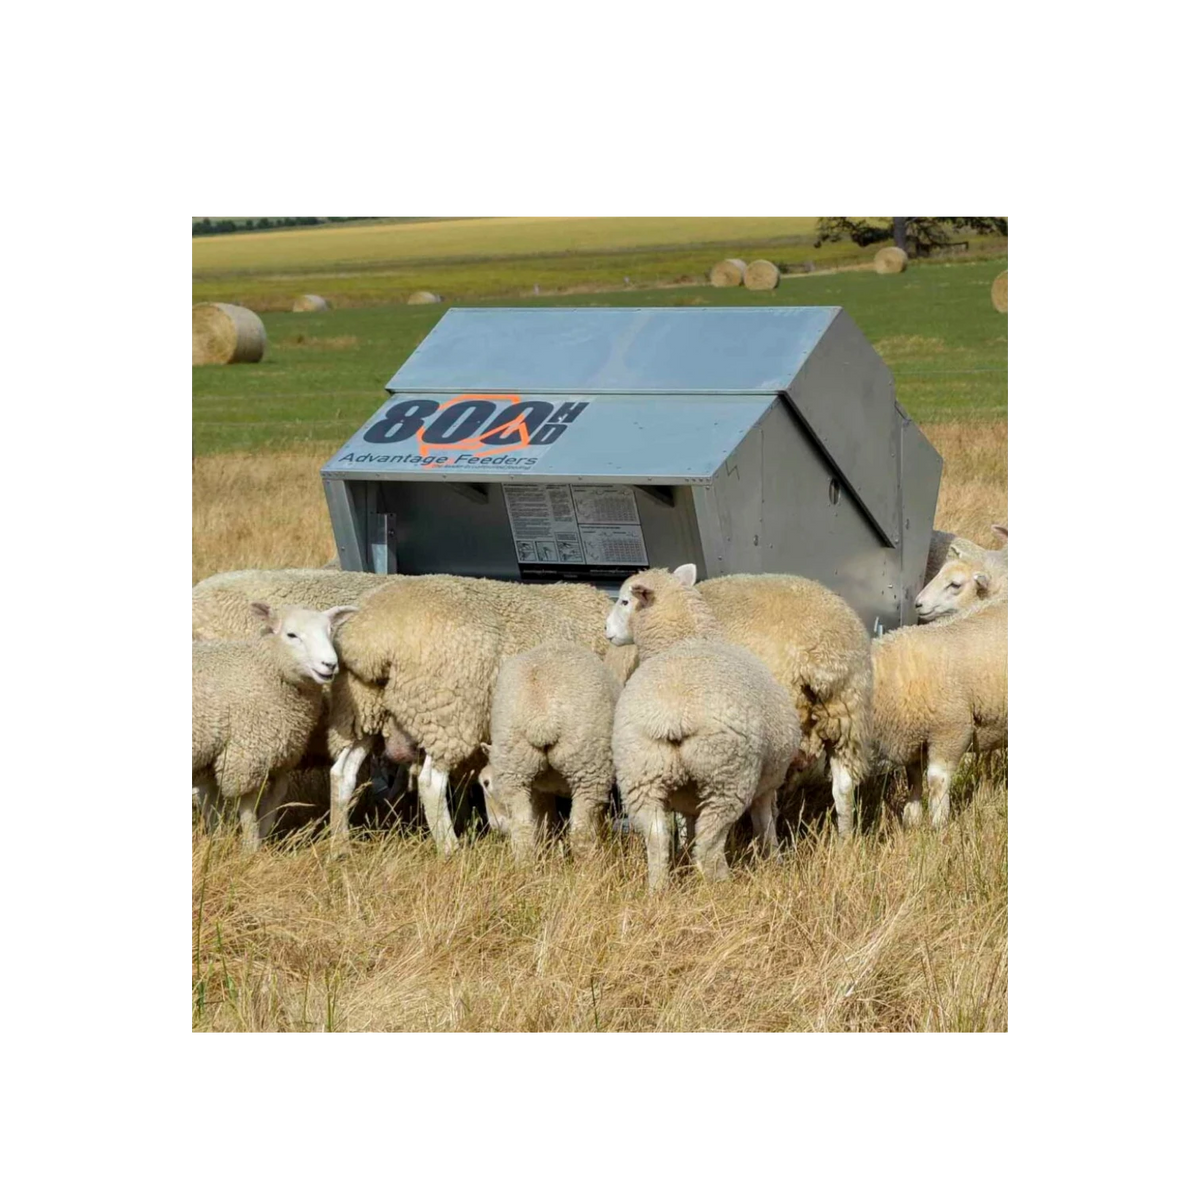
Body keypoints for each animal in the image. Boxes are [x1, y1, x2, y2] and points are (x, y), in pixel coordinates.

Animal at [189, 603, 356, 851]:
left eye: (330, 632)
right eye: (291, 635)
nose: (330, 664)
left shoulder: (274, 753)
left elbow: (277, 792)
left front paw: (233, 839)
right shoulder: (246, 754)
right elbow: (247, 805)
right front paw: (251, 848)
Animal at [477, 642, 619, 861]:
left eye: (485, 782)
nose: (495, 826)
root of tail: (540, 717)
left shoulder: (539, 790)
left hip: (515, 766)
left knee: (523, 828)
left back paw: (526, 865)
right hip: (588, 764)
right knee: (581, 830)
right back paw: (590, 865)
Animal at [606, 565, 802, 890]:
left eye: (623, 602)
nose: (606, 631)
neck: (686, 638)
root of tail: (673, 717)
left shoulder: (689, 797)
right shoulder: (768, 781)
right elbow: (765, 821)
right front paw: (774, 859)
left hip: (640, 772)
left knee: (657, 836)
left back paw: (658, 888)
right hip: (727, 777)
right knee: (709, 845)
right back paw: (723, 885)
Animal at [869, 597, 1010, 829]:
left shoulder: (952, 730)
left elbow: (937, 782)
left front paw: (938, 824)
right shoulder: (913, 740)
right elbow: (914, 779)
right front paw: (912, 819)